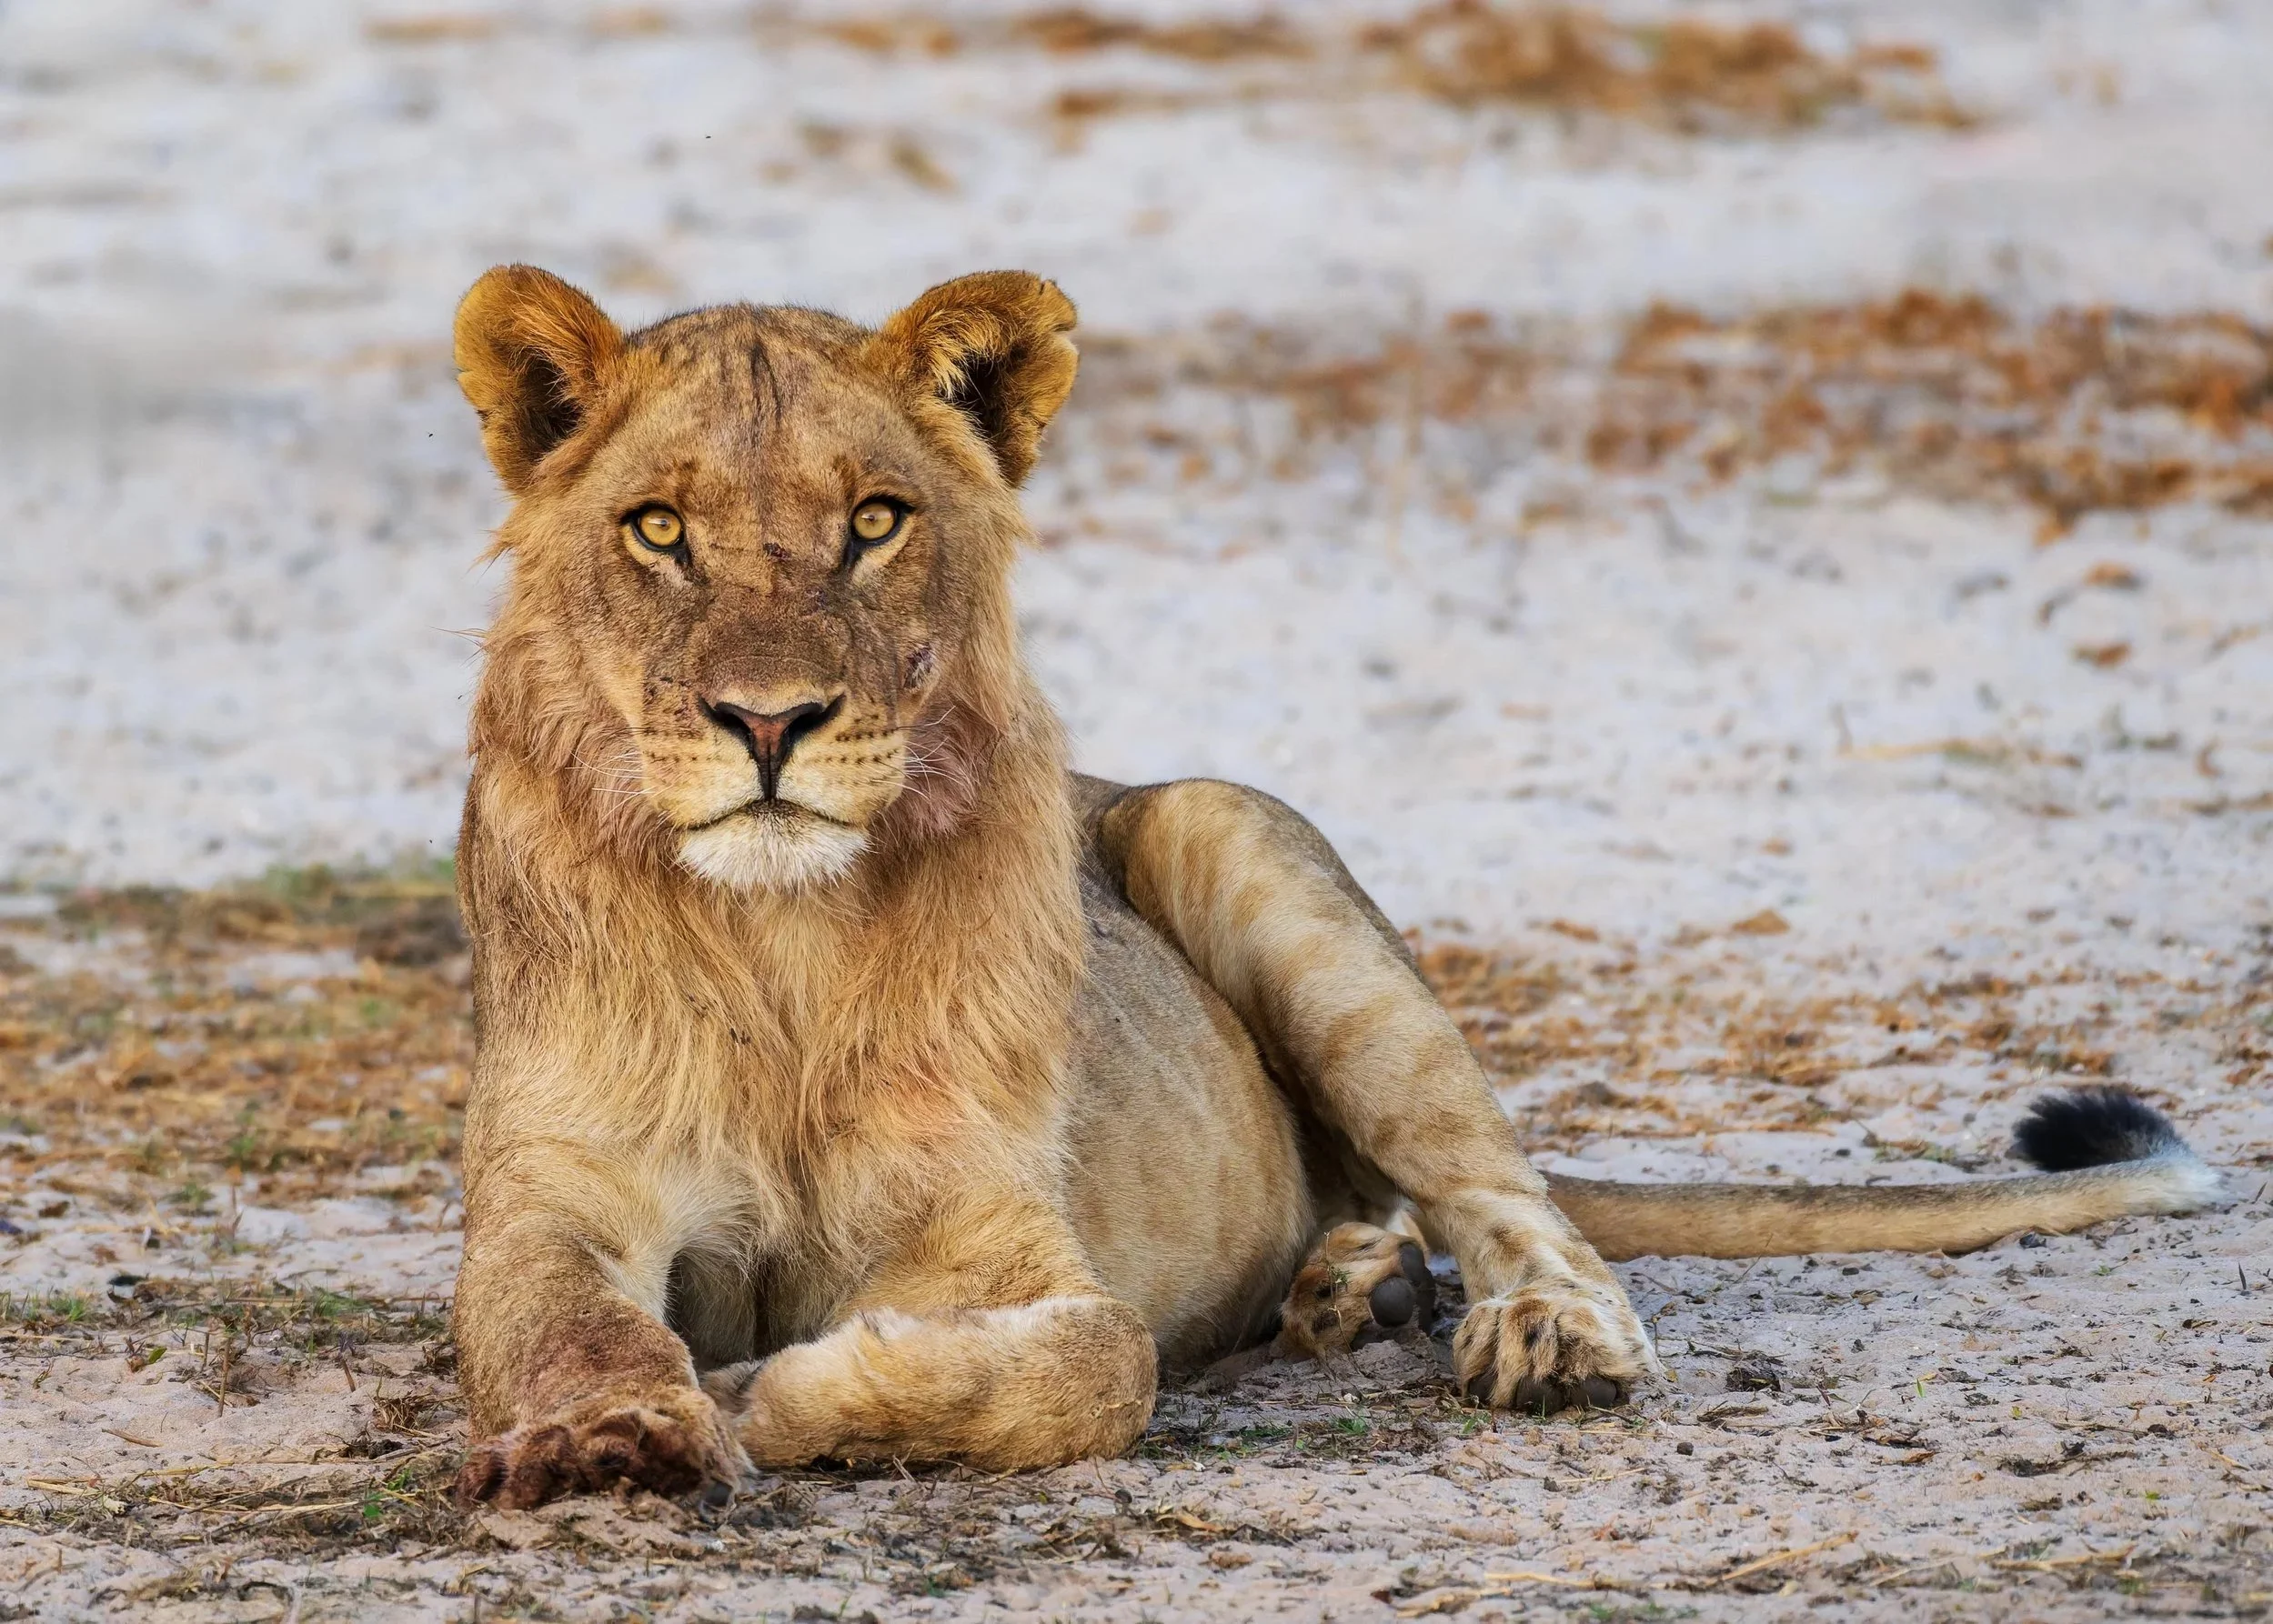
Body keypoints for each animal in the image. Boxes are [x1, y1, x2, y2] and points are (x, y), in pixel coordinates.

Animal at [445, 265, 2226, 1509]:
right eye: (657, 530)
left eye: (875, 521)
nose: (768, 723)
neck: (783, 942)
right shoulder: (551, 1195)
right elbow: (566, 1321)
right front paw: (614, 1431)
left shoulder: (995, 1233)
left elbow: (1095, 1356)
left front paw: (774, 1391)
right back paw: (1348, 1284)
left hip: (1233, 841)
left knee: (1507, 1194)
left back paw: (1519, 1329)